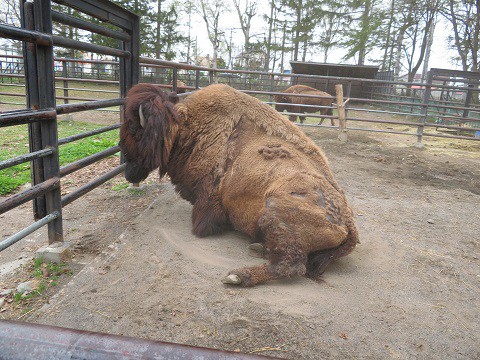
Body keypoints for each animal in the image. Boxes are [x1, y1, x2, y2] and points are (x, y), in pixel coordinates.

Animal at [120, 82, 360, 286]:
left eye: (133, 128)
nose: (128, 173)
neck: (186, 125)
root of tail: (349, 223)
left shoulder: (208, 202)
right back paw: (258, 248)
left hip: (274, 206)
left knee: (291, 266)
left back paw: (237, 276)